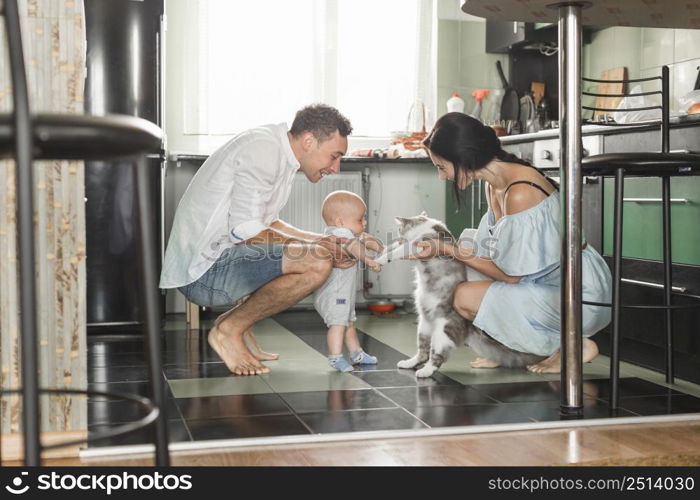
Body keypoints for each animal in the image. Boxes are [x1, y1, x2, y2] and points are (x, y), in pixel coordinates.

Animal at [378, 212, 548, 378]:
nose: (398, 234)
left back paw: (424, 372)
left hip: (442, 333)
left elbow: (399, 250)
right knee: (423, 353)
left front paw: (382, 259)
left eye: (399, 229)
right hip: (423, 328)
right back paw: (408, 363)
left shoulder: (422, 244)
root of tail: (468, 325)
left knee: (436, 358)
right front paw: (379, 253)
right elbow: (391, 248)